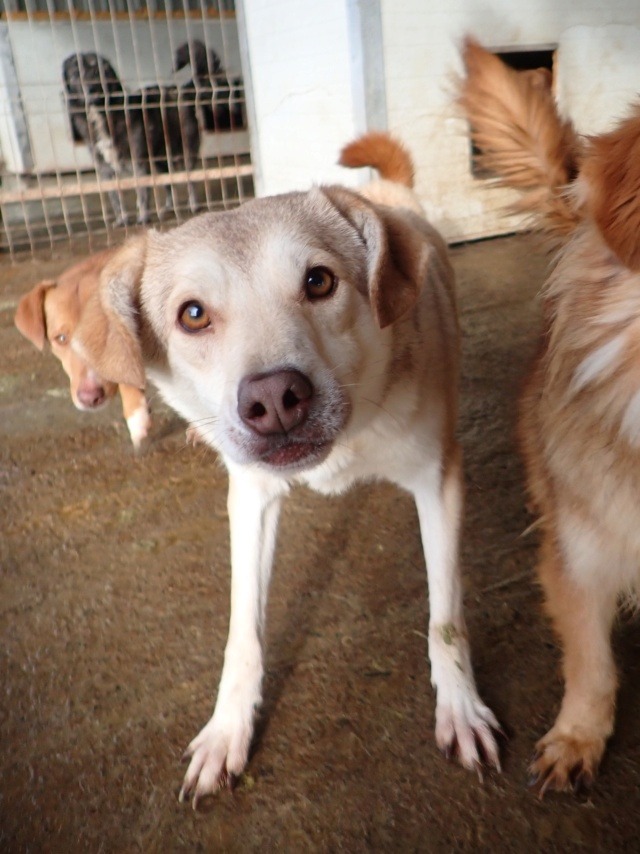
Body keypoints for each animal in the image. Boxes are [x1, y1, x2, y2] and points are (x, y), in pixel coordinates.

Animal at [62, 52, 200, 224]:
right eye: (75, 74)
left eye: (97, 72)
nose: (92, 90)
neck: (102, 114)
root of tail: (177, 89)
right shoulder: (105, 170)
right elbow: (115, 198)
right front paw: (122, 219)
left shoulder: (138, 163)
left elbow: (142, 193)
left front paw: (143, 217)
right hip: (160, 160)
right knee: (168, 183)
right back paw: (169, 206)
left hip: (186, 151)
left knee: (191, 179)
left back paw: (193, 204)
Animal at [74, 131, 501, 807]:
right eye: (192, 314)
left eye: (319, 281)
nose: (275, 399)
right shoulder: (250, 499)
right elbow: (243, 633)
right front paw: (228, 729)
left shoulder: (440, 483)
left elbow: (446, 617)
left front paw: (459, 707)